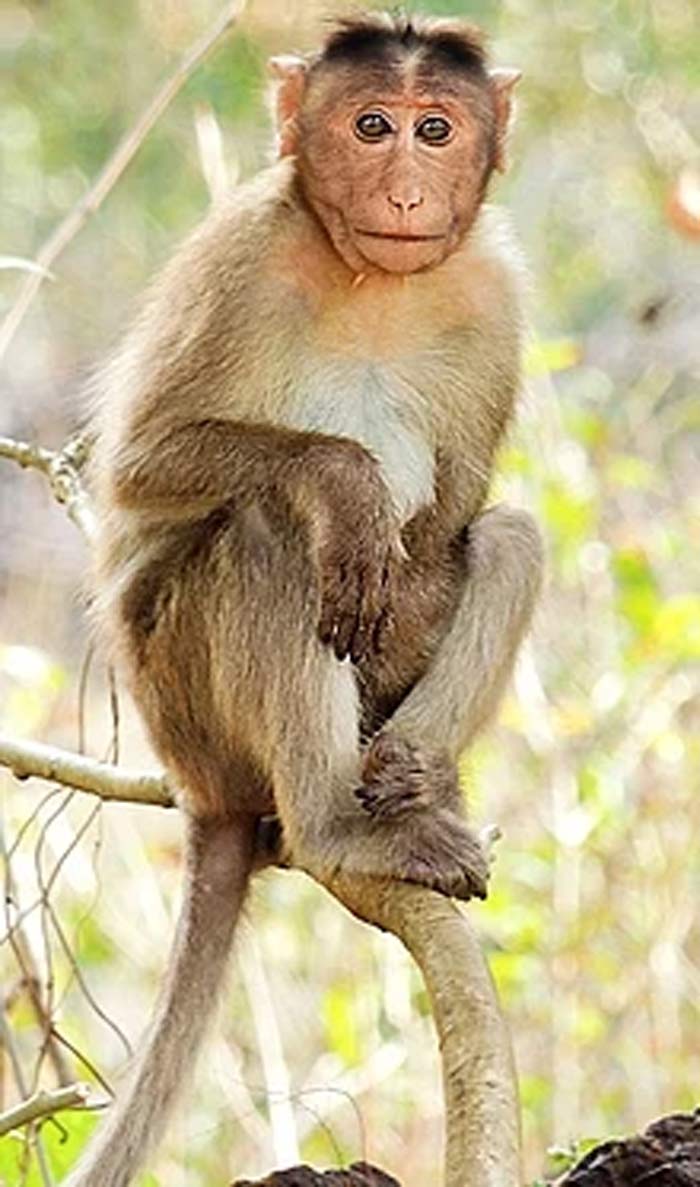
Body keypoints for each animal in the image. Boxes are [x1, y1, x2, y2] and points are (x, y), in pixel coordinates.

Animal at [66, 14, 543, 1187]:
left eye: (434, 129)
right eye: (370, 126)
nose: (407, 190)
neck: (374, 281)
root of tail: (204, 791)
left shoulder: (493, 291)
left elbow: (456, 519)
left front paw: (424, 766)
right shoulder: (236, 256)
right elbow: (139, 468)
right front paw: (347, 484)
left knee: (507, 538)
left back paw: (411, 780)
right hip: (185, 698)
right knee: (269, 536)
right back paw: (339, 828)